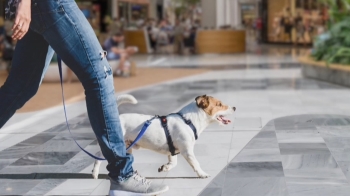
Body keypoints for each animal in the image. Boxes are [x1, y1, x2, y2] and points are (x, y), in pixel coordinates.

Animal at [91, 94, 237, 178]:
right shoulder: (187, 151)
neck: (189, 120)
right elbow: (196, 163)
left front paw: (165, 167)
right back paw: (95, 173)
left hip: (128, 147)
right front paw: (202, 174)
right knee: (98, 157)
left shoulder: (173, 150)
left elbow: (173, 162)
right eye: (219, 104)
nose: (235, 108)